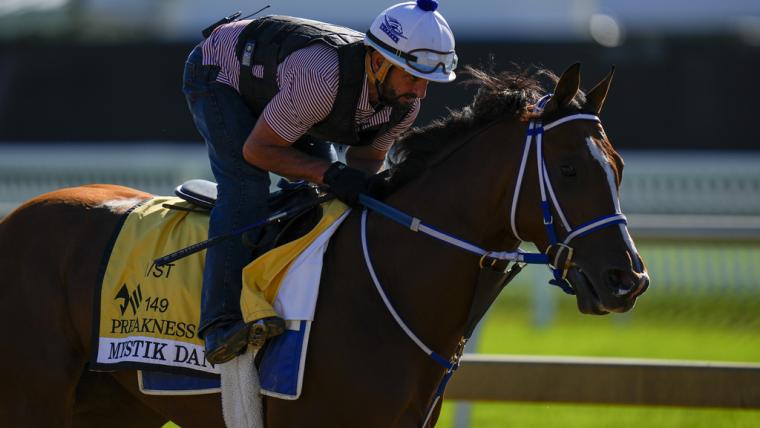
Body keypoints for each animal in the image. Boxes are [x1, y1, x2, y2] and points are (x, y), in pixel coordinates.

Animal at [0, 64, 652, 428]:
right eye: (568, 169)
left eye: (618, 167)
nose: (628, 279)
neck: (386, 288)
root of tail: (17, 217)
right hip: (33, 399)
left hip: (112, 408)